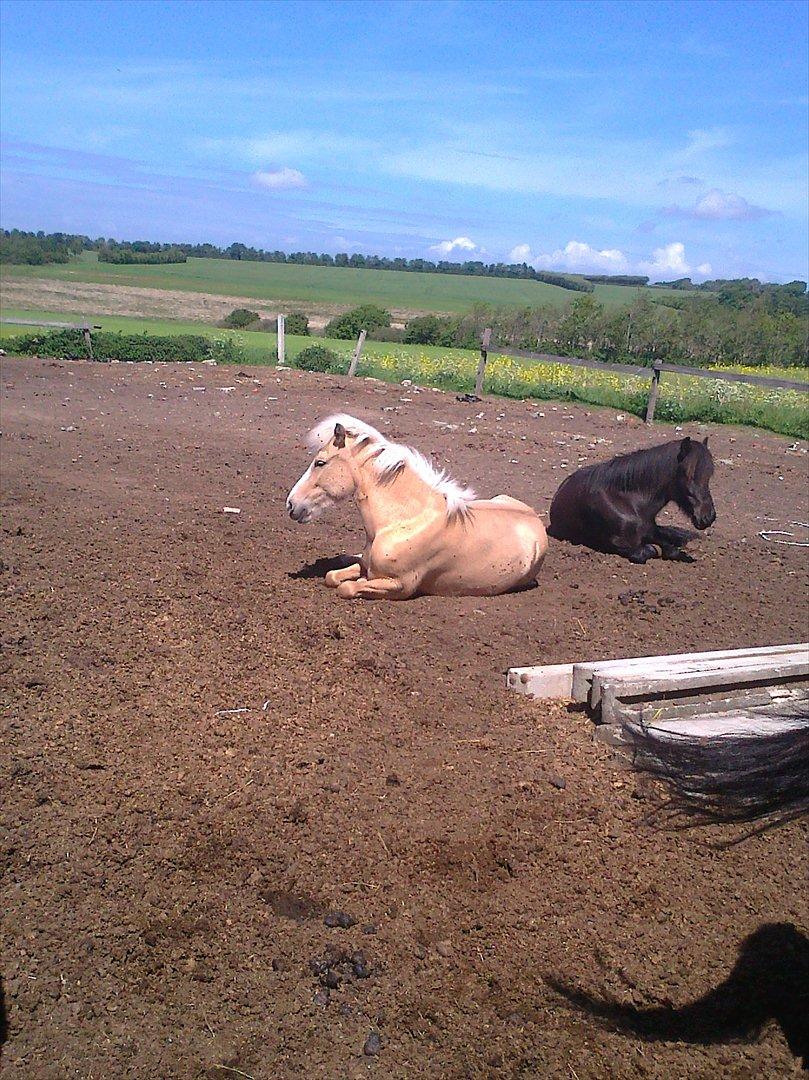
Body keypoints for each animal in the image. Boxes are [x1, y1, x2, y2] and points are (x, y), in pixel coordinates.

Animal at [287, 412, 546, 600]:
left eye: (320, 463)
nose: (291, 504)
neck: (404, 522)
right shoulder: (365, 565)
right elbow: (332, 576)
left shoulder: (400, 585)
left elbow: (348, 587)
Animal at [548, 434, 712, 565]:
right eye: (687, 474)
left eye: (709, 474)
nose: (708, 517)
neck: (630, 503)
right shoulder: (617, 544)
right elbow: (650, 550)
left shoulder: (650, 530)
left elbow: (669, 547)